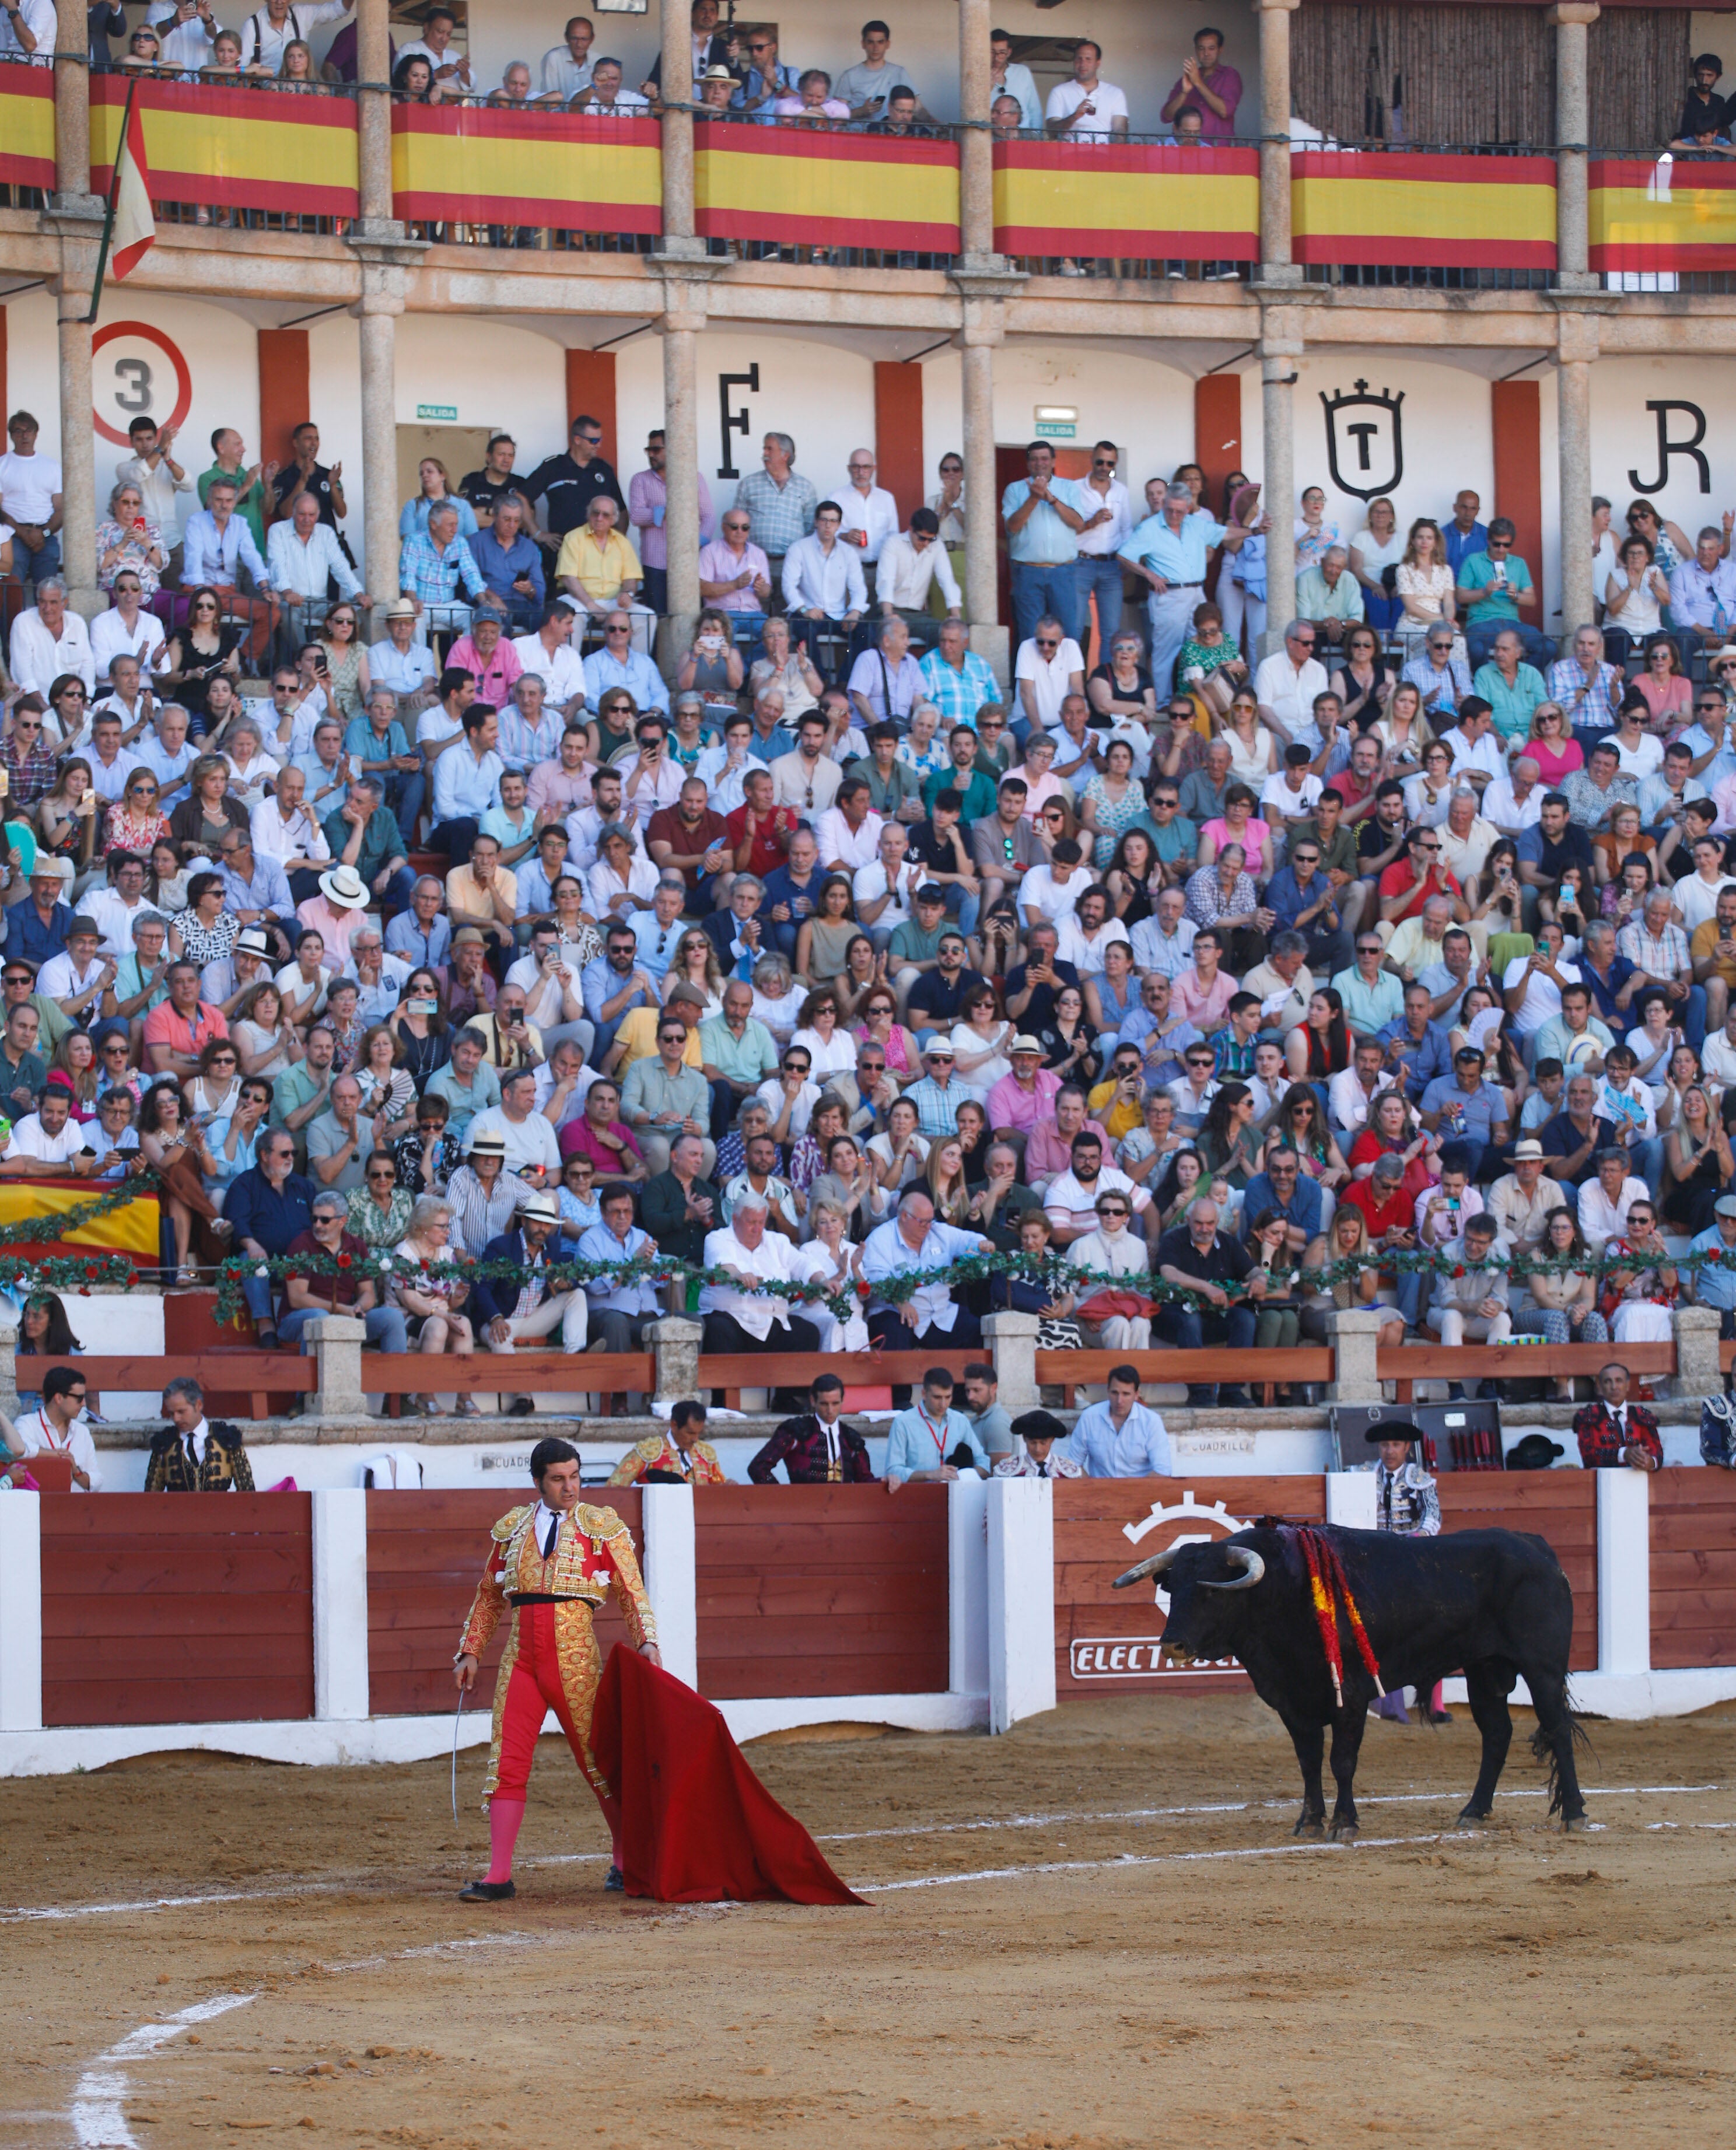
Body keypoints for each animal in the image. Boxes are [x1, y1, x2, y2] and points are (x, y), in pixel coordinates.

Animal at [1110, 1522, 1591, 1840]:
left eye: (1211, 1589)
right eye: (1173, 1588)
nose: (1172, 1644)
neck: (1283, 1595)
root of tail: (1539, 1548)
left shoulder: (1353, 1696)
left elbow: (1342, 1760)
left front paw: (1344, 1823)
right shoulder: (1291, 1702)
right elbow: (1308, 1762)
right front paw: (1308, 1822)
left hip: (1542, 1668)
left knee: (1557, 1728)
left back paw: (1574, 1815)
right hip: (1485, 1669)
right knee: (1496, 1733)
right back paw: (1473, 1811)